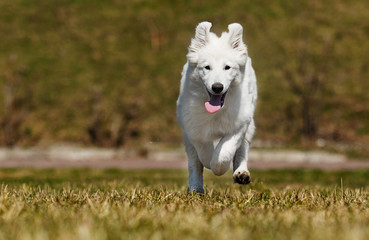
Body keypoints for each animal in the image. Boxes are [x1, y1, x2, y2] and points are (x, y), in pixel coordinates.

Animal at [175, 22, 256, 193]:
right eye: (207, 67)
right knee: (194, 163)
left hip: (250, 125)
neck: (216, 111)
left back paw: (241, 173)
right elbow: (203, 152)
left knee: (242, 149)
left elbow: (224, 152)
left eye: (227, 67)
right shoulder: (192, 126)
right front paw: (208, 161)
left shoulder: (239, 124)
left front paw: (219, 167)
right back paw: (195, 189)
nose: (217, 87)